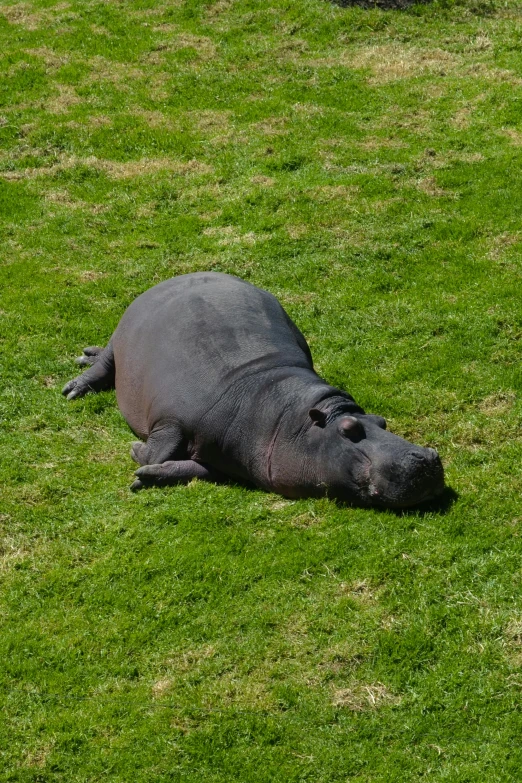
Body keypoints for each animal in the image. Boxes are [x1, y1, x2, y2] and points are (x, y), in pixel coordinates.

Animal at [62, 272, 442, 508]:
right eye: (349, 429)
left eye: (382, 421)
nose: (426, 457)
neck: (283, 416)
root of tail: (176, 277)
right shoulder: (171, 420)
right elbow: (158, 449)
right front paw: (137, 457)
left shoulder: (227, 459)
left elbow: (195, 470)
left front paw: (146, 477)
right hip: (121, 339)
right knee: (105, 363)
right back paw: (75, 387)